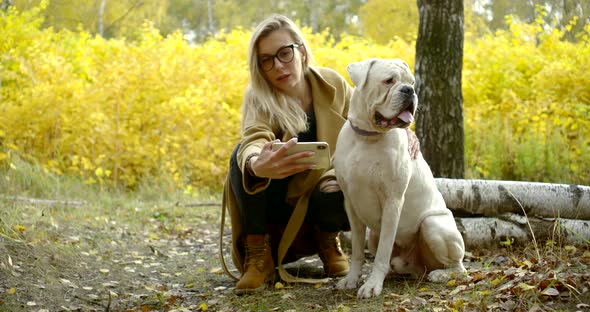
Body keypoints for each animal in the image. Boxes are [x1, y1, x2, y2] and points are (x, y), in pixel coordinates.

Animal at [338, 57, 468, 298]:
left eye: (412, 82)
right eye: (388, 81)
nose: (409, 90)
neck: (367, 138)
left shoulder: (392, 202)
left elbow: (383, 252)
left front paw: (372, 285)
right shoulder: (351, 205)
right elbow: (358, 250)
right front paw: (351, 279)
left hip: (432, 224)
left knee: (459, 267)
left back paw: (440, 274)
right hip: (375, 234)